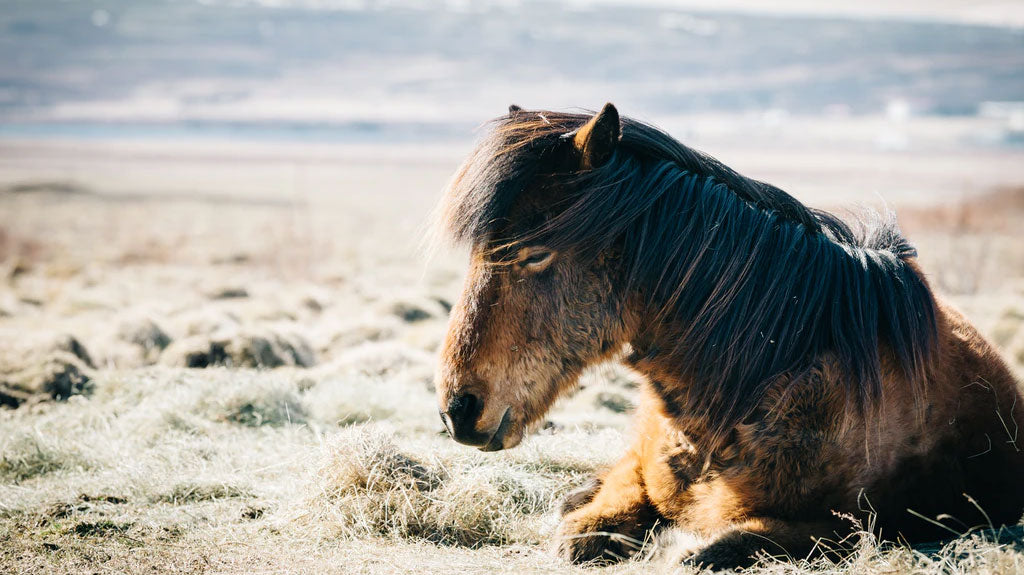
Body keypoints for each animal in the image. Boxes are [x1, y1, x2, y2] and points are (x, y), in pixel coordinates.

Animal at [432, 103, 1024, 568]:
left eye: (535, 253)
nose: (459, 409)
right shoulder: (639, 474)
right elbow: (586, 528)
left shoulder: (852, 528)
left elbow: (713, 549)